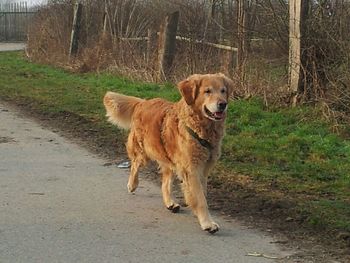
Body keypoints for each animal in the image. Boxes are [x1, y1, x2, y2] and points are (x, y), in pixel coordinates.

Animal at [105, 73, 234, 234]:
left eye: (223, 91)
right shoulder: (191, 169)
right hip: (143, 151)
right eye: (207, 91)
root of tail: (143, 102)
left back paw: (170, 203)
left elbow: (202, 194)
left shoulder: (204, 168)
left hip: (168, 158)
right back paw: (132, 184)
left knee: (165, 183)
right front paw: (207, 222)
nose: (223, 104)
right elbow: (200, 199)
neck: (201, 128)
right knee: (135, 164)